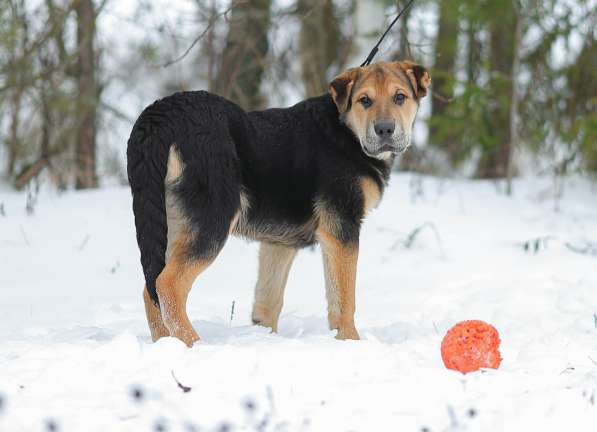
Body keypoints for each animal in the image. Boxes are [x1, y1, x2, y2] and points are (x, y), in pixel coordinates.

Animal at [125, 60, 428, 346]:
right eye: (364, 100)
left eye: (400, 97)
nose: (385, 129)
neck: (345, 131)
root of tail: (160, 115)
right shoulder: (342, 228)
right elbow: (343, 298)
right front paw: (350, 342)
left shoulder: (280, 242)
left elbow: (268, 303)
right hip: (212, 218)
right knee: (168, 284)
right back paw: (195, 344)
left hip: (170, 223)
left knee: (151, 288)